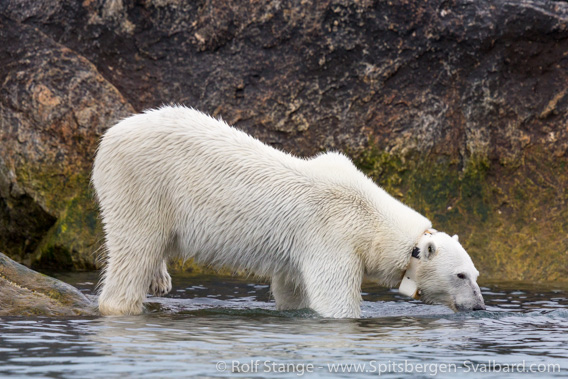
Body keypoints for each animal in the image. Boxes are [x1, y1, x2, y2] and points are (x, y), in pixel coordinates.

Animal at [92, 106, 484, 318]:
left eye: (477, 273)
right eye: (462, 275)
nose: (480, 306)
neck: (368, 215)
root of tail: (110, 135)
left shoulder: (298, 251)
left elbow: (292, 289)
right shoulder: (333, 238)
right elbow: (334, 299)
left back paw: (160, 279)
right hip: (142, 185)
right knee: (135, 249)